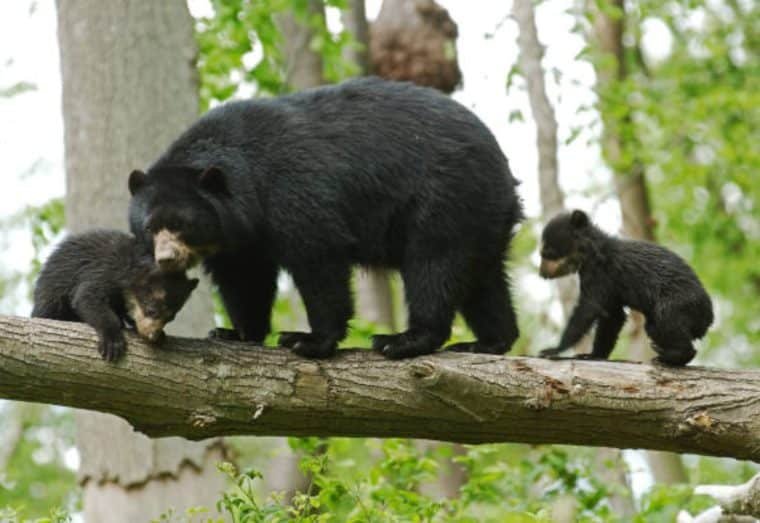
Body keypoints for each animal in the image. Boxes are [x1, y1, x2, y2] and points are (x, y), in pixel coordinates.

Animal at [32, 229, 198, 361]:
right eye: (152, 310)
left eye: (171, 318)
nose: (153, 336)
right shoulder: (104, 270)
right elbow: (88, 297)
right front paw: (113, 342)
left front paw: (160, 335)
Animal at [127, 76, 523, 360]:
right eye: (150, 227)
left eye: (183, 225)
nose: (166, 259)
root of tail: (502, 162)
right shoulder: (238, 237)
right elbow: (245, 277)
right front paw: (235, 333)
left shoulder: (292, 192)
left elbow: (318, 259)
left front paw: (308, 340)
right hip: (482, 214)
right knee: (483, 278)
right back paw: (489, 342)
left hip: (445, 197)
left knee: (433, 264)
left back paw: (403, 340)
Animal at [538, 209, 713, 366]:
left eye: (547, 253)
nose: (542, 274)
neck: (590, 253)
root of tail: (708, 318)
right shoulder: (611, 289)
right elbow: (612, 317)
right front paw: (592, 355)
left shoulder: (601, 274)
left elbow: (588, 308)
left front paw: (551, 350)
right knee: (654, 328)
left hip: (676, 303)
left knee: (668, 323)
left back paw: (666, 355)